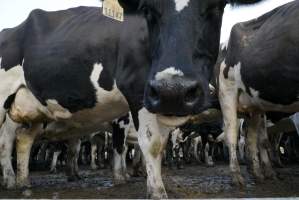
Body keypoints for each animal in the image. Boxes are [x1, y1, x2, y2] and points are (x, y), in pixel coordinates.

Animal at [1, 0, 264, 198]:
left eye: (215, 7)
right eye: (148, 9)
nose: (181, 90)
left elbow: (156, 145)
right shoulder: (137, 93)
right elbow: (146, 144)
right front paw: (149, 188)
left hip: (34, 110)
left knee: (23, 140)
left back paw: (24, 182)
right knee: (6, 140)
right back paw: (10, 180)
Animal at [218, 0, 299, 187]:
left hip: (254, 105)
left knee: (252, 139)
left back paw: (258, 173)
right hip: (227, 91)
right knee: (232, 135)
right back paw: (236, 176)